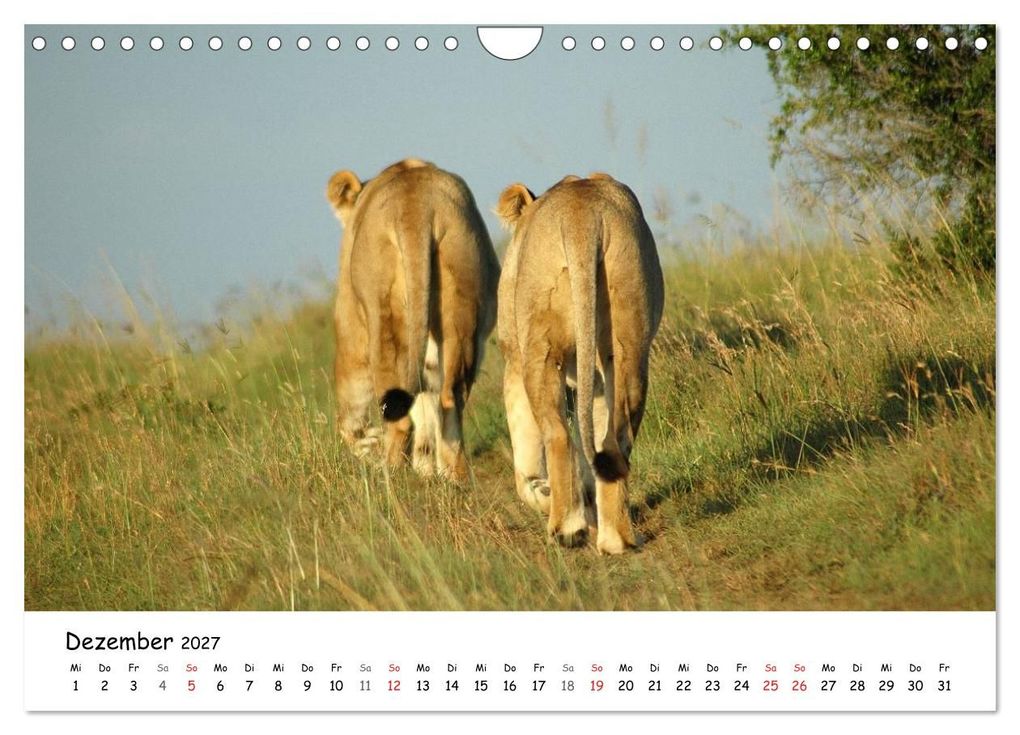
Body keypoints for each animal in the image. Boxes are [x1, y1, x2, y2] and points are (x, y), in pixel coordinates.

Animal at [326, 159, 500, 481]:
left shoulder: (349, 324)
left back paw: (392, 476)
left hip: (383, 320)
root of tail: (415, 206)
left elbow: (350, 417)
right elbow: (426, 403)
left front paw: (371, 447)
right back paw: (453, 475)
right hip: (461, 302)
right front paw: (426, 466)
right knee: (449, 398)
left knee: (399, 417)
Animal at [495, 173, 664, 554]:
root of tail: (582, 216)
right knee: (613, 441)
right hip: (628, 344)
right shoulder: (596, 379)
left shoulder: (512, 359)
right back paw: (617, 540)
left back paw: (566, 528)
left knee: (557, 434)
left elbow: (525, 459)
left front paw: (541, 491)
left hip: (539, 350)